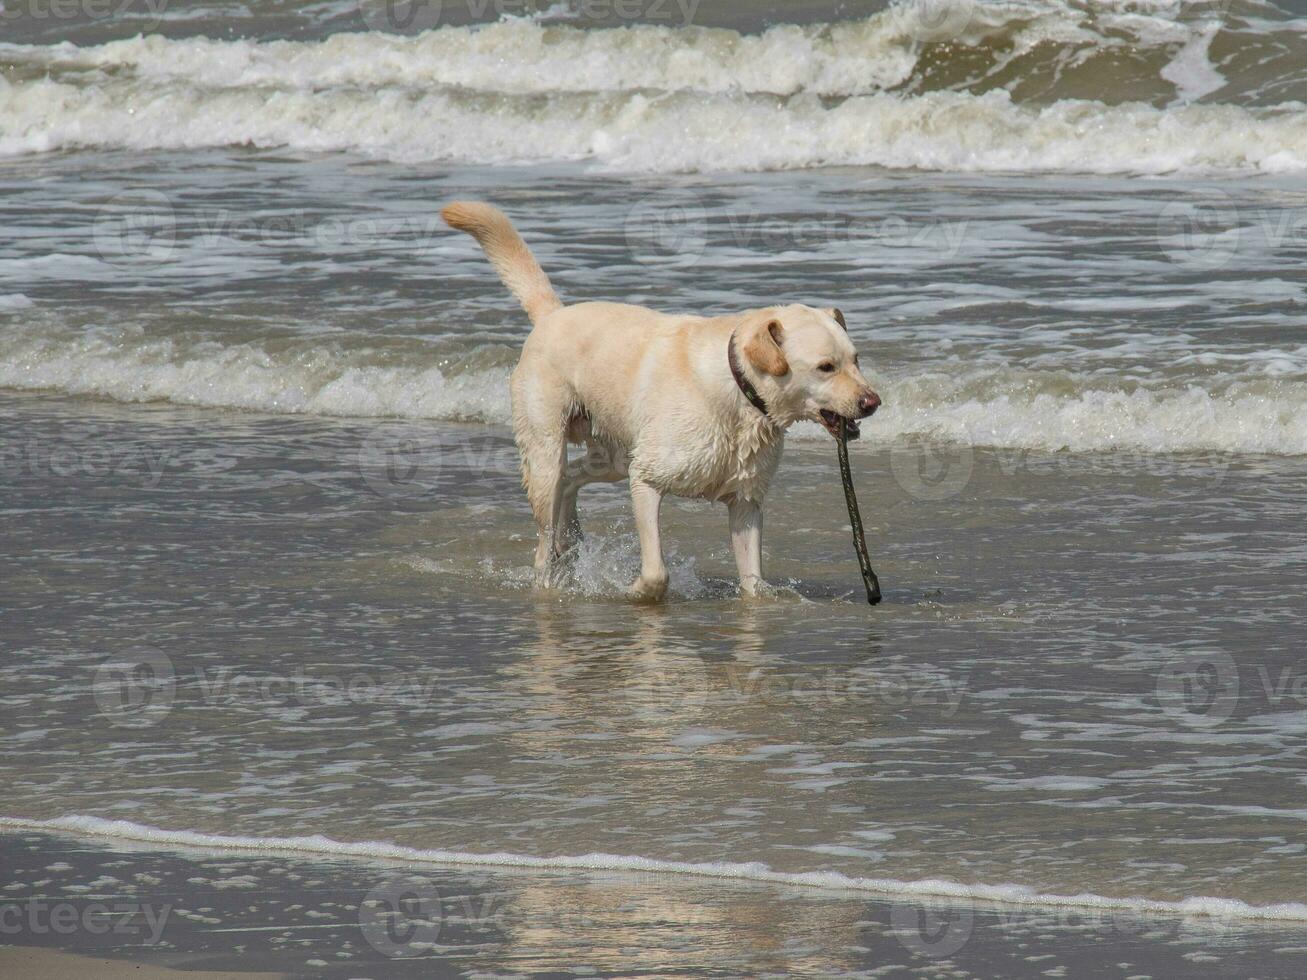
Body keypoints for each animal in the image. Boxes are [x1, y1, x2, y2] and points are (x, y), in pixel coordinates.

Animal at [444, 201, 883, 598]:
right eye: (826, 367)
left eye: (856, 359)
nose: (873, 402)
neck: (738, 395)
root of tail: (552, 314)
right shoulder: (647, 479)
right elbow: (657, 572)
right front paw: (636, 591)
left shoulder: (745, 501)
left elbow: (753, 582)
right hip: (549, 448)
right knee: (546, 524)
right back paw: (551, 577)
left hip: (615, 455)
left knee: (572, 480)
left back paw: (571, 541)